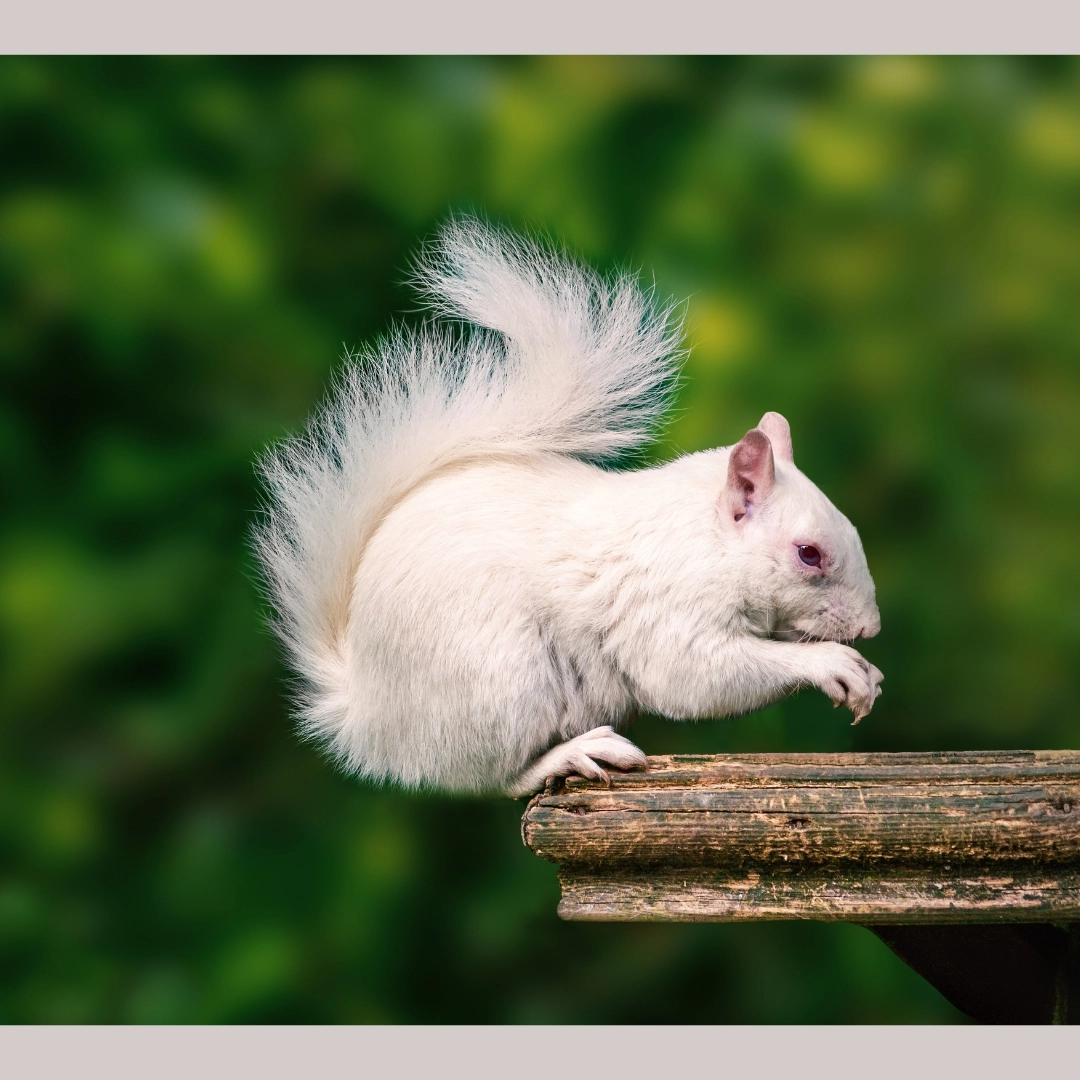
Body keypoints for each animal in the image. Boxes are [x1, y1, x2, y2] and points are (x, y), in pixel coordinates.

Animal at [255, 218, 882, 797]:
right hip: (501, 682)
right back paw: (574, 754)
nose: (870, 628)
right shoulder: (665, 608)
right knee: (496, 777)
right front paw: (833, 665)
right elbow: (694, 675)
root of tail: (370, 720)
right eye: (808, 553)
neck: (703, 540)